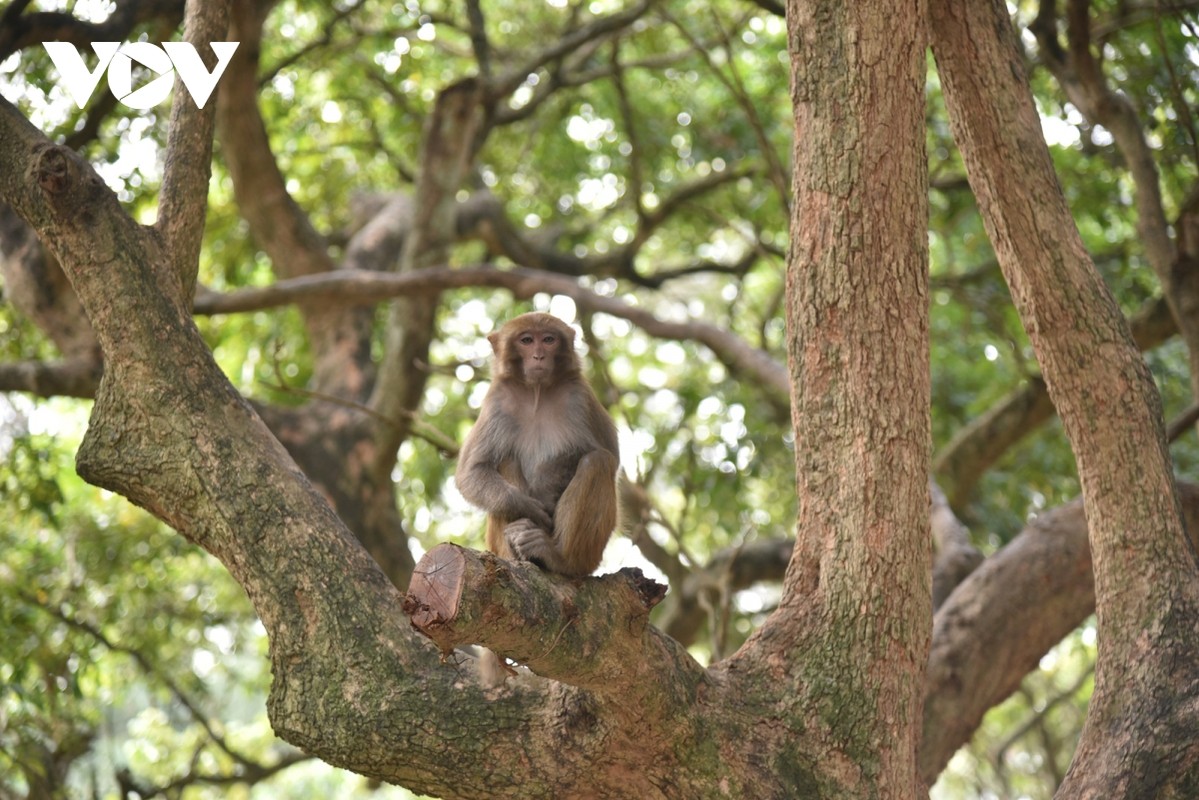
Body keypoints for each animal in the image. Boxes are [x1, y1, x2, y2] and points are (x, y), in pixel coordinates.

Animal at [455, 309, 623, 578]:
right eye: (526, 341)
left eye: (548, 340)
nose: (538, 356)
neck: (537, 392)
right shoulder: (497, 403)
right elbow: (472, 471)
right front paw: (528, 508)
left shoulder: (580, 397)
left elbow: (611, 455)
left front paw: (547, 484)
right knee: (505, 459)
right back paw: (519, 544)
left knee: (598, 461)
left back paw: (560, 559)